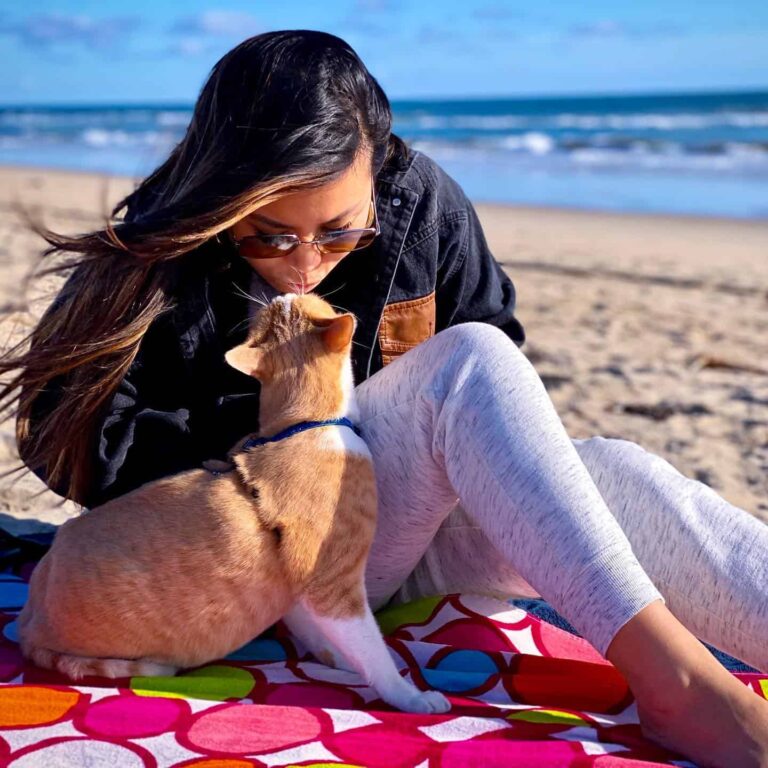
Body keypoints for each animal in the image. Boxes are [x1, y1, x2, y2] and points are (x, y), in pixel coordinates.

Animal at [18, 292, 450, 712]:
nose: (281, 293)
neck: (302, 426)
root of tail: (29, 619)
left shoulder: (297, 592)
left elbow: (326, 639)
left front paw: (339, 662)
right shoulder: (332, 584)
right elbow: (372, 649)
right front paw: (409, 695)